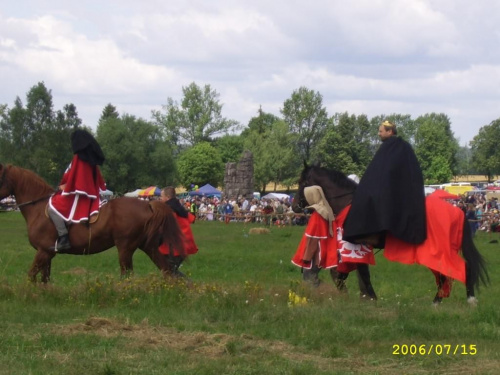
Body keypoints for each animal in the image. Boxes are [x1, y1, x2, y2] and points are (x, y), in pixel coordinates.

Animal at [0, 163, 186, 284]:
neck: (38, 208)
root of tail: (147, 204)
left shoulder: (44, 252)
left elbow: (31, 277)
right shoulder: (47, 254)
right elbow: (43, 280)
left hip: (125, 248)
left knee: (129, 275)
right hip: (147, 246)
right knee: (166, 269)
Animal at [292, 164, 488, 306]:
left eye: (302, 182)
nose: (295, 206)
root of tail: (457, 210)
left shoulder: (356, 244)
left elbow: (358, 273)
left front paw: (369, 297)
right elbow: (354, 273)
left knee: (461, 268)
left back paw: (469, 300)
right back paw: (437, 301)